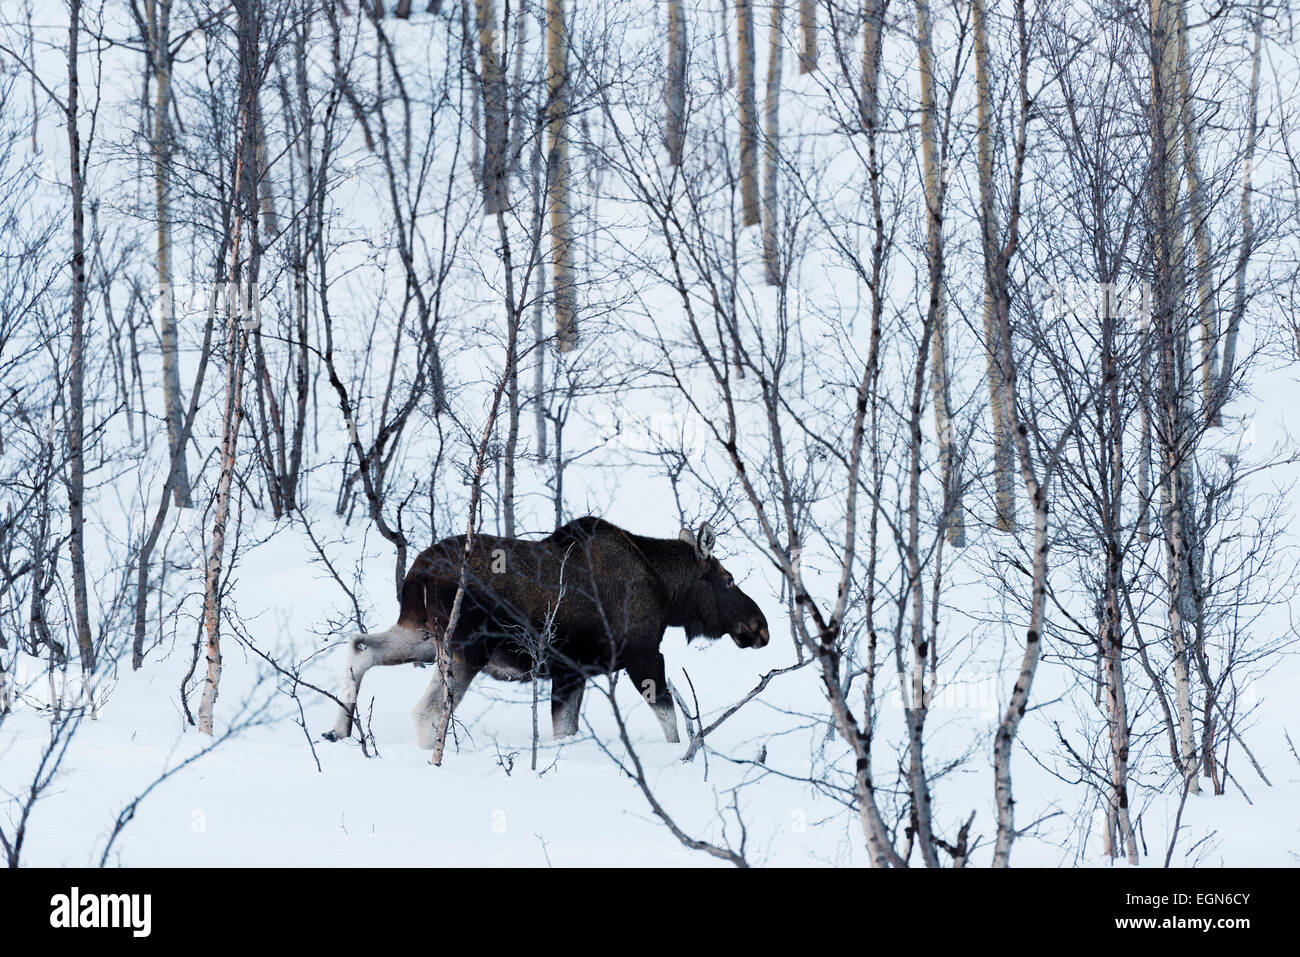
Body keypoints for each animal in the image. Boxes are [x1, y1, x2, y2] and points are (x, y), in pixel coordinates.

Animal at [323, 514, 764, 748]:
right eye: (727, 580)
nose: (759, 626)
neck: (668, 594)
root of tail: (418, 574)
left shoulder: (573, 671)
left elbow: (564, 731)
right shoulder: (642, 656)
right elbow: (673, 724)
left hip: (422, 636)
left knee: (361, 646)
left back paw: (338, 730)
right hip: (464, 647)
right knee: (427, 710)